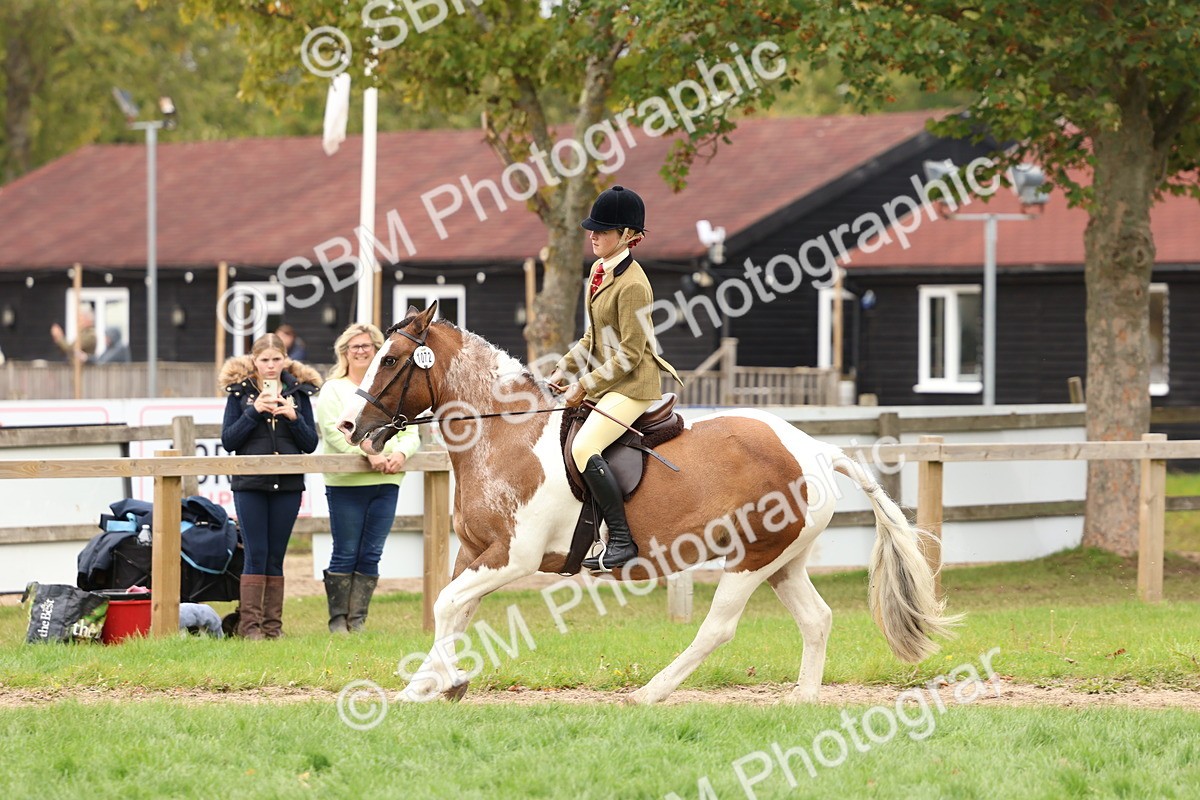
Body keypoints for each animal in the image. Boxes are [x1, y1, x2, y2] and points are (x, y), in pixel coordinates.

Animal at [337, 302, 960, 704]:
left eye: (390, 360)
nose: (348, 426)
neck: (506, 433)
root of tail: (815, 448)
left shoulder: (513, 557)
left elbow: (447, 606)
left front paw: (441, 682)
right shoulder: (476, 552)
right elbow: (454, 610)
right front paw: (428, 684)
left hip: (751, 559)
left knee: (717, 629)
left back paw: (650, 692)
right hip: (783, 560)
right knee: (817, 618)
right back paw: (802, 700)